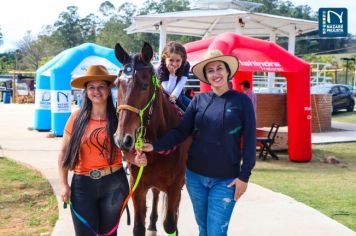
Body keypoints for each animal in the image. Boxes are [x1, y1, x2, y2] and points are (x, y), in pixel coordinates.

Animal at [114, 42, 192, 236]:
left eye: (144, 85)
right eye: (117, 84)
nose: (123, 140)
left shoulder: (175, 186)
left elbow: (169, 224)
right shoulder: (137, 186)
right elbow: (138, 227)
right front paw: (148, 225)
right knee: (156, 193)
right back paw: (152, 224)